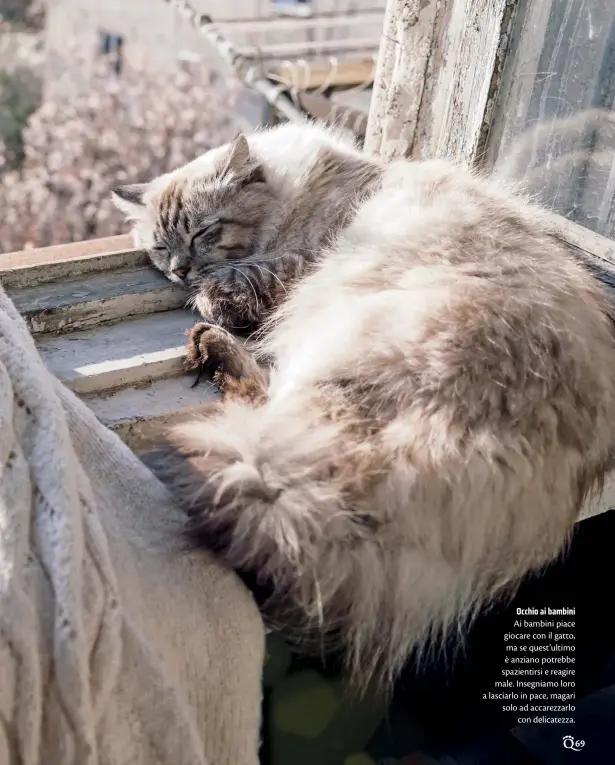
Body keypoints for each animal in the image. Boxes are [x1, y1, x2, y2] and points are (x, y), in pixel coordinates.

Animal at [113, 121, 615, 688]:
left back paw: (212, 349)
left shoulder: (294, 259)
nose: (180, 270)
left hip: (333, 343)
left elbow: (240, 280)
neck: (303, 189)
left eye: (203, 233)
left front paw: (211, 295)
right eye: (161, 246)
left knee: (264, 406)